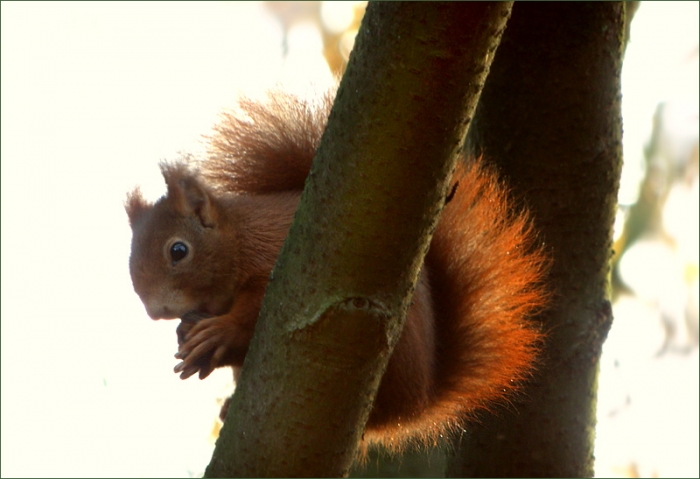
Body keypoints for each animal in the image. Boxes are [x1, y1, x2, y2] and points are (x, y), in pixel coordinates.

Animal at [125, 85, 549, 451]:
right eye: (130, 260)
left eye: (178, 251)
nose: (155, 311)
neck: (239, 241)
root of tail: (417, 402)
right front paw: (188, 335)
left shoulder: (274, 263)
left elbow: (253, 311)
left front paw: (218, 332)